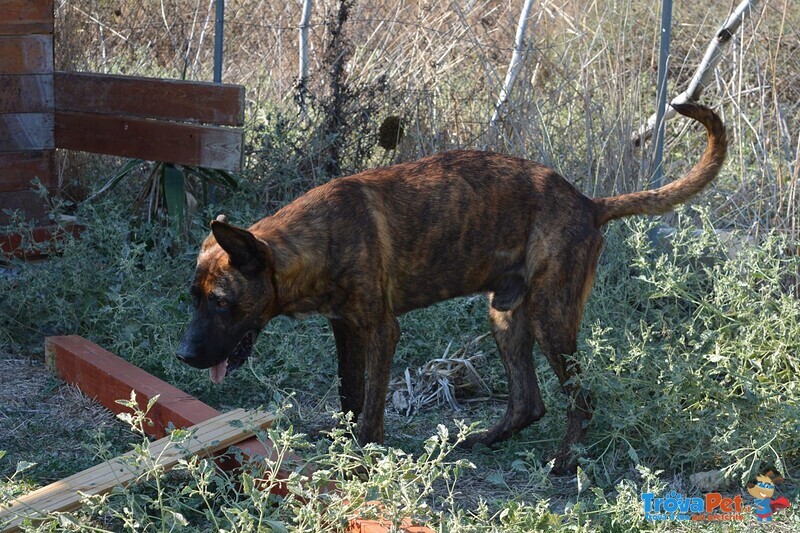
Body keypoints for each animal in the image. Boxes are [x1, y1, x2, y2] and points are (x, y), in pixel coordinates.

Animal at [178, 102, 728, 472]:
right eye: (193, 299)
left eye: (222, 302)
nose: (183, 357)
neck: (318, 238)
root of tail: (590, 204)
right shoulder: (346, 329)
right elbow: (350, 395)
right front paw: (342, 444)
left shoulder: (381, 331)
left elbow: (371, 410)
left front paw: (364, 458)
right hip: (506, 317)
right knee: (529, 402)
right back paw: (480, 442)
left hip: (551, 320)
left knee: (581, 401)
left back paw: (565, 463)